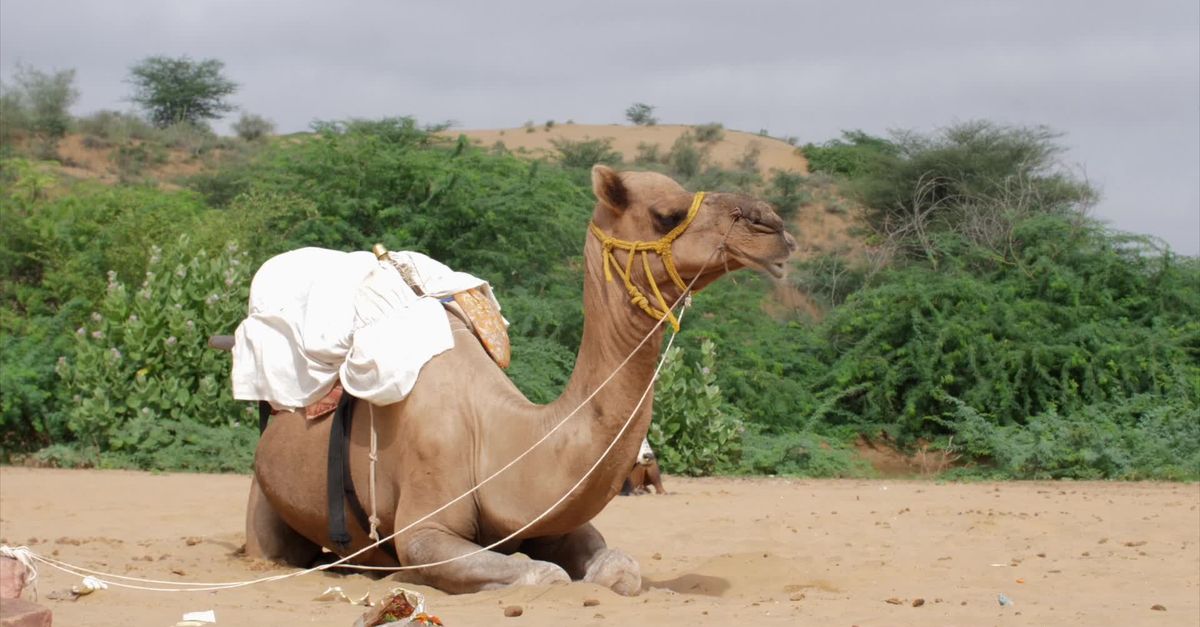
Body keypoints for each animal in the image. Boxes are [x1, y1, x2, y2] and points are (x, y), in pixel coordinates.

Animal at [246, 165, 797, 595]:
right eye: (668, 214)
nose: (774, 226)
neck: (498, 439)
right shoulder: (425, 527)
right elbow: (541, 574)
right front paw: (404, 576)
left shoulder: (555, 517)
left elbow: (619, 569)